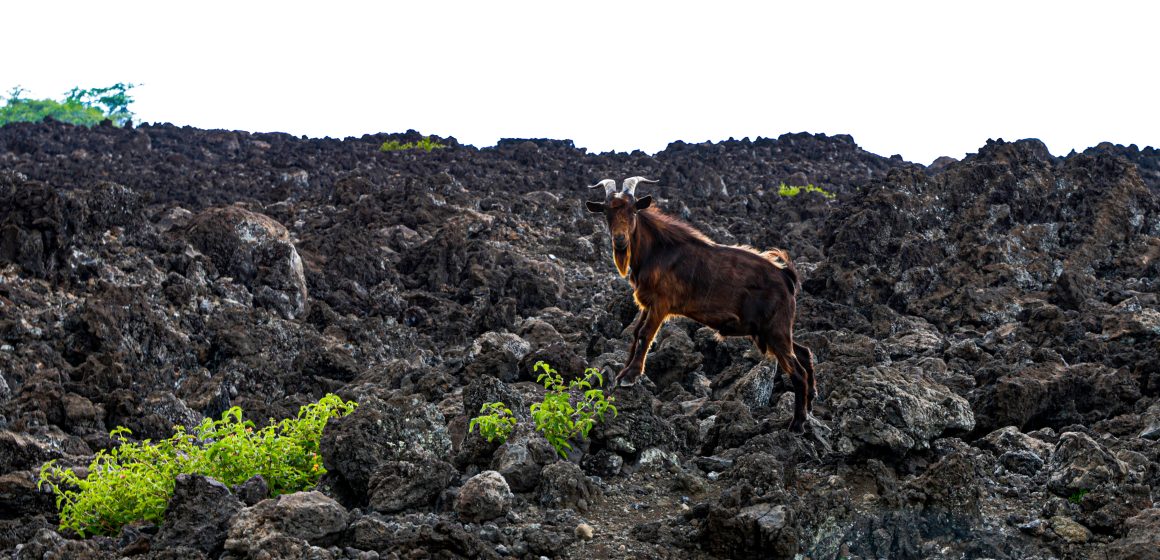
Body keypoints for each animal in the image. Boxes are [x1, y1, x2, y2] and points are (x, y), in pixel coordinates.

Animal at [589, 177, 816, 431]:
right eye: (606, 212)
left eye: (633, 211)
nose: (620, 241)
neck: (656, 250)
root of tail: (787, 277)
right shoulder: (647, 305)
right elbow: (636, 334)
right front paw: (623, 373)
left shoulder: (660, 304)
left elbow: (646, 335)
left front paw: (630, 376)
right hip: (772, 331)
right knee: (804, 353)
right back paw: (809, 406)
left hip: (776, 330)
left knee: (797, 371)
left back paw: (797, 423)